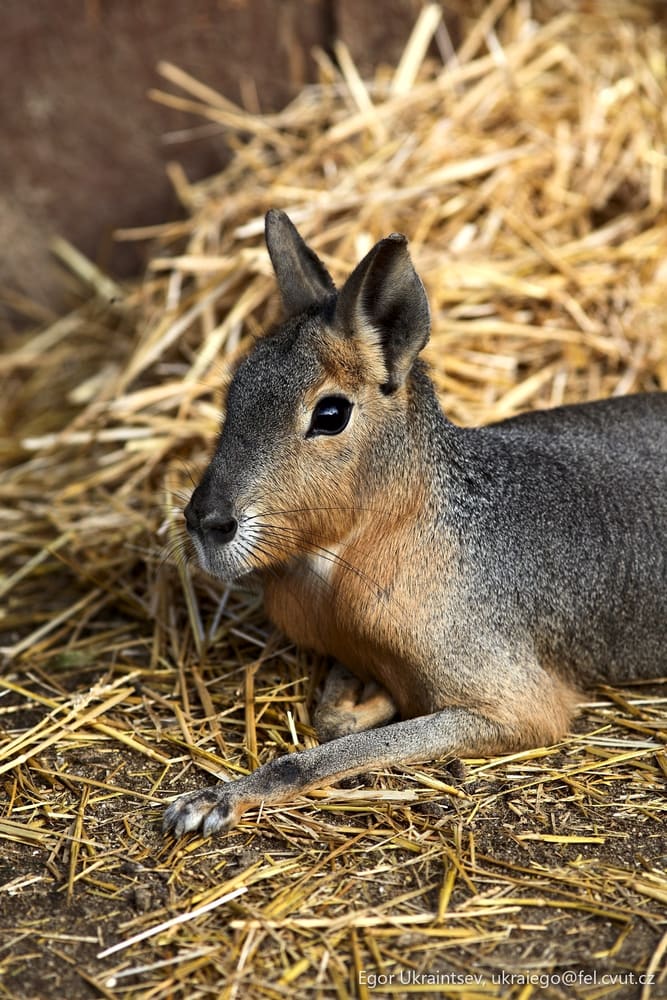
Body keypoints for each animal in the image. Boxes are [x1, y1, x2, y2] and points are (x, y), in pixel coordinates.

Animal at [163, 209, 667, 838]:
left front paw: (216, 797)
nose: (205, 522)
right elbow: (335, 720)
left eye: (331, 413)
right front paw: (367, 700)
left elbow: (318, 757)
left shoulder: (519, 703)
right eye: (234, 394)